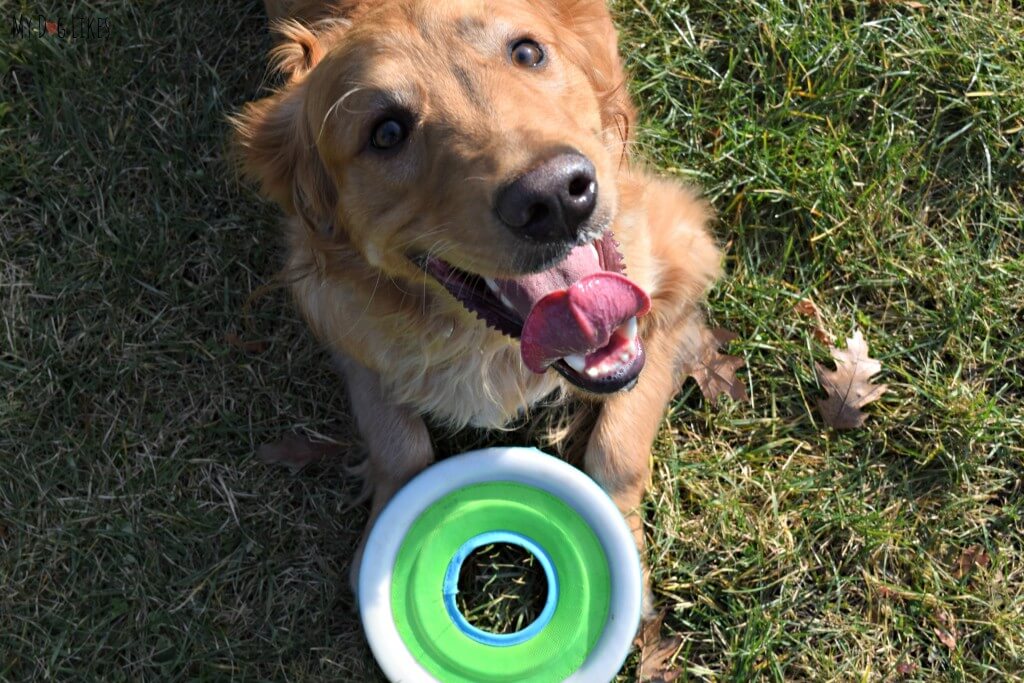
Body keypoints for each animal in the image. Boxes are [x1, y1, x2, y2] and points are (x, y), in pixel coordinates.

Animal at [235, 0, 724, 610]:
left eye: (527, 52)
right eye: (386, 132)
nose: (555, 196)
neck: (487, 341)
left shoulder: (682, 255)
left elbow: (617, 448)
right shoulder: (339, 319)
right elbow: (400, 445)